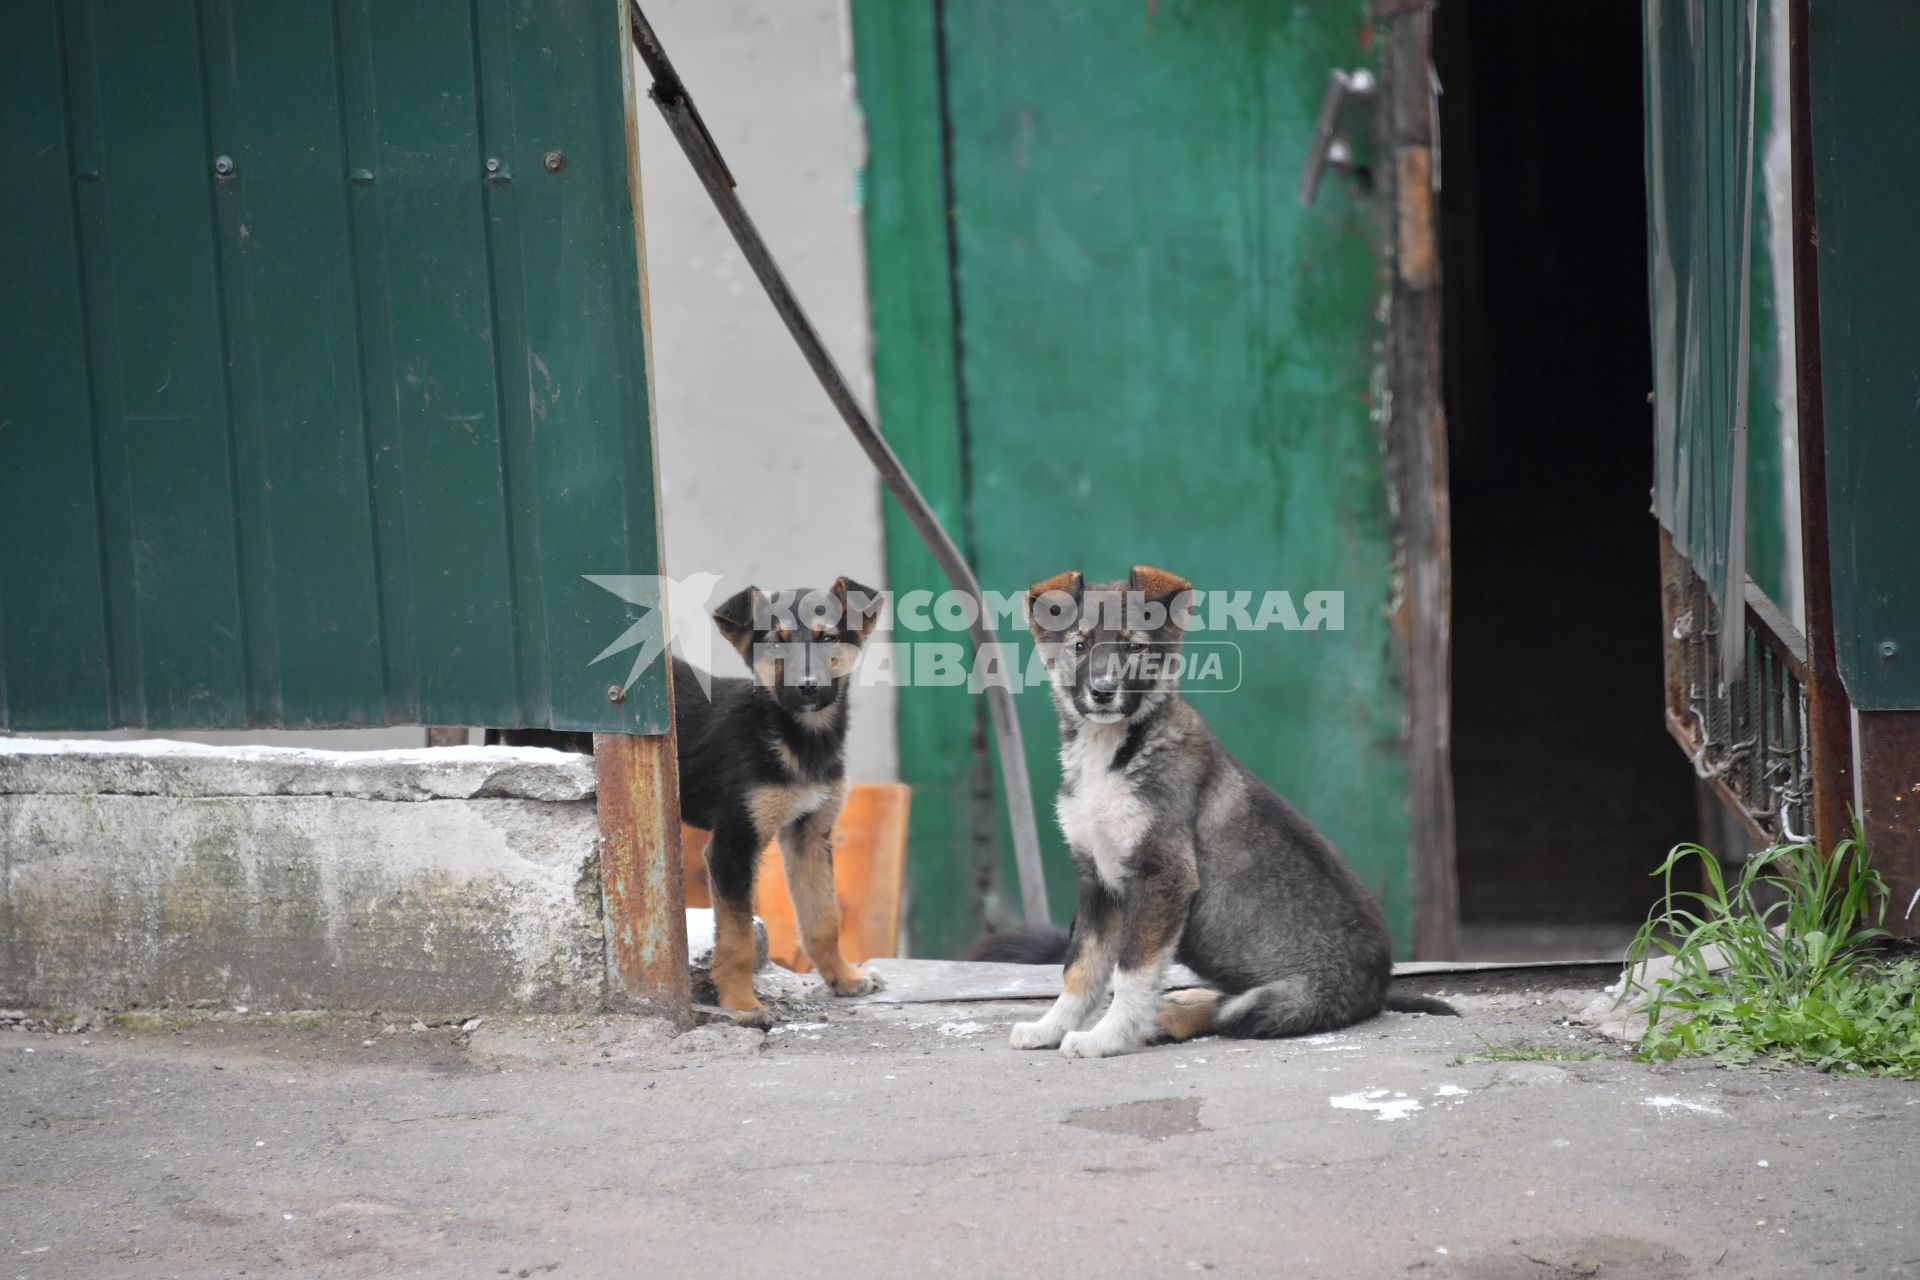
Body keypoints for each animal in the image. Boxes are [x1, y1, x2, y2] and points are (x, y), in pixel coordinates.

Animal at [679, 579, 879, 1020]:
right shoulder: (733, 844)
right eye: (775, 644)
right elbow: (738, 938)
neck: (801, 741)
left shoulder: (810, 834)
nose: (806, 685)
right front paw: (740, 1004)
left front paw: (843, 978)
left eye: (827, 639)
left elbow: (823, 920)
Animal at [1013, 568, 1443, 1059]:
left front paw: (1110, 1037)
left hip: (1276, 1001)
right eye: (1080, 645)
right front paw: (1049, 1027)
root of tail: (1379, 988)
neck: (1113, 750)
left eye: (1135, 647)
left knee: (1227, 1009)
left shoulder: (1162, 873)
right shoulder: (1096, 878)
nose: (1102, 692)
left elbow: (1132, 972)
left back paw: (1166, 1017)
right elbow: (1079, 968)